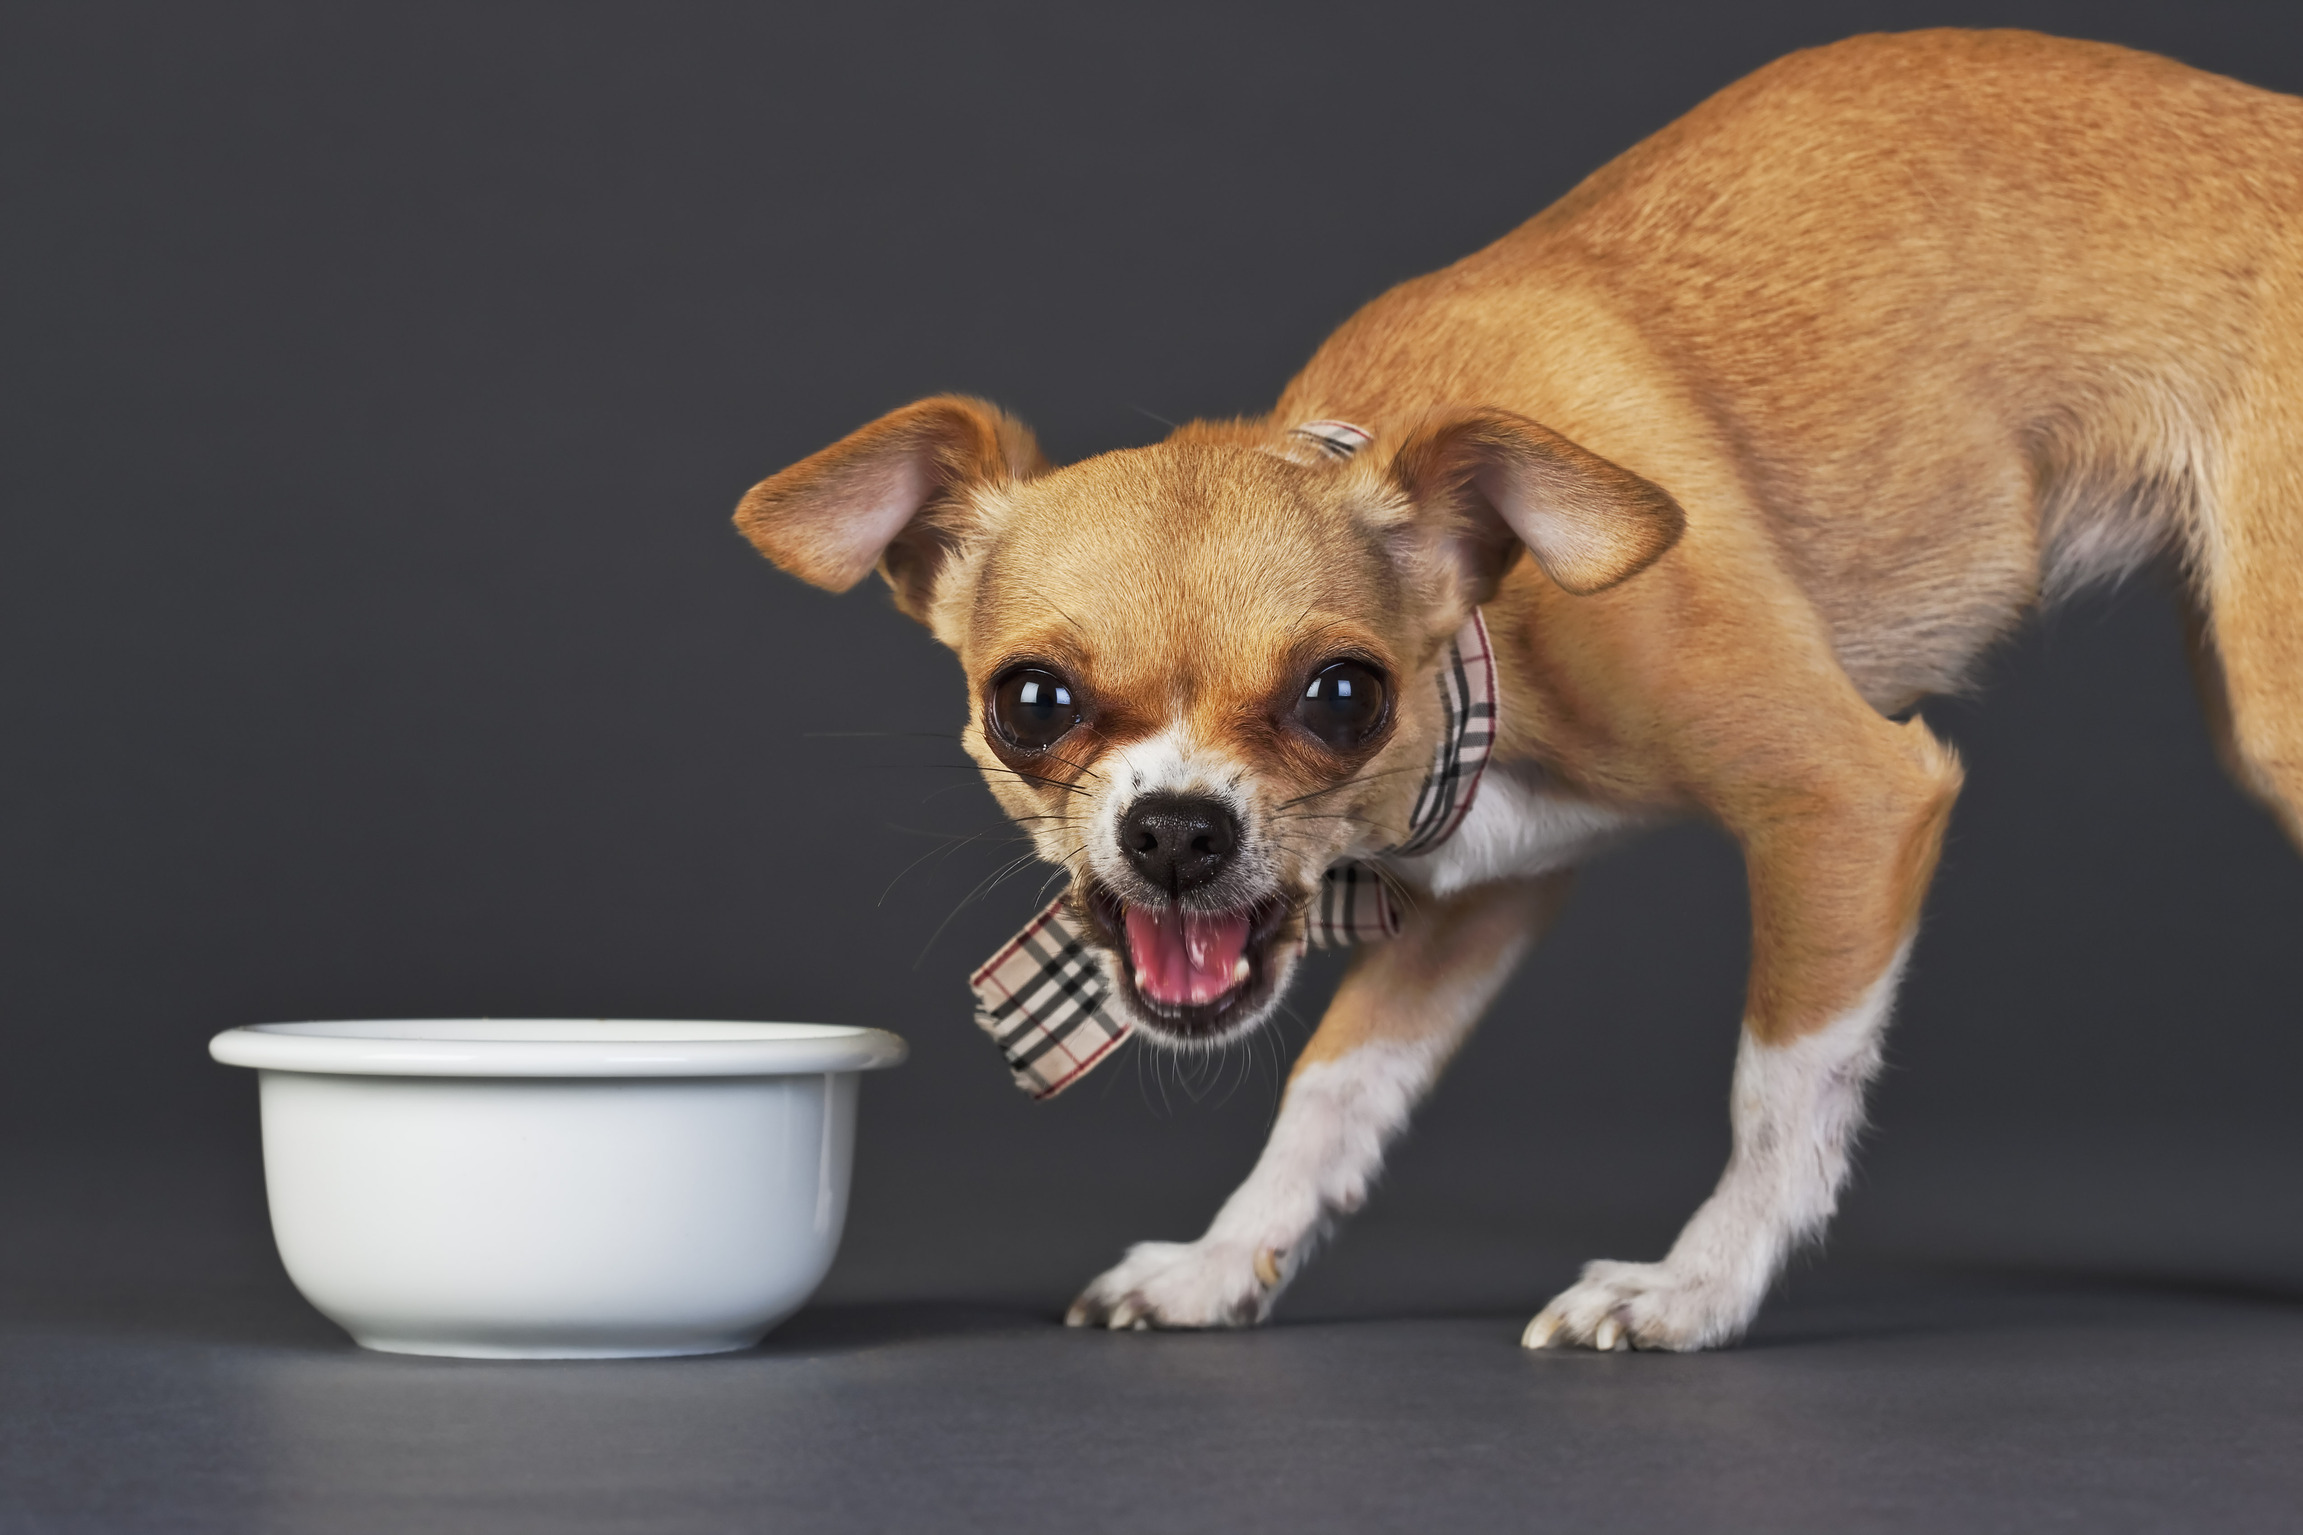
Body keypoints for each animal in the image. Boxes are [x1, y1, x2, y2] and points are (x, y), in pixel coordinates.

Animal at [723, 30, 2303, 1353]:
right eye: (1032, 702)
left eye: (1340, 694)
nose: (1175, 828)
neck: (1492, 636)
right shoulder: (1474, 898)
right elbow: (1334, 1086)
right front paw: (1224, 1260)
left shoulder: (1847, 802)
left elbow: (1779, 1080)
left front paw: (1694, 1286)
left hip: (2272, 712)